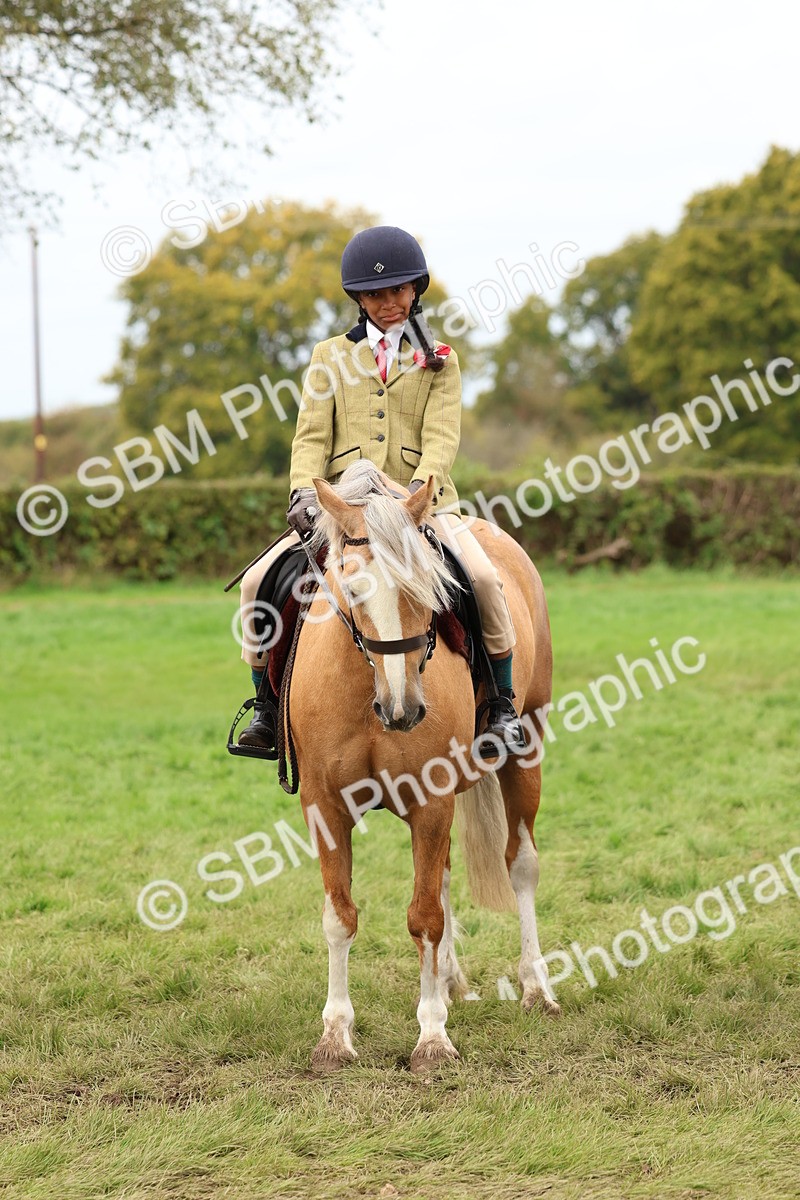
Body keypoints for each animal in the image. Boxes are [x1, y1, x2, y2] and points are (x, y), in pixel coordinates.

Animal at [288, 460, 560, 1072]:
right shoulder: (324, 806)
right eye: (352, 586)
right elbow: (340, 915)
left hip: (526, 749)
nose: (404, 708)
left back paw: (536, 988)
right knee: (446, 873)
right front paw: (335, 1035)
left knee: (522, 864)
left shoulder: (431, 798)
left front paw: (432, 1037)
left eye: (427, 587)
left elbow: (425, 917)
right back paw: (452, 981)